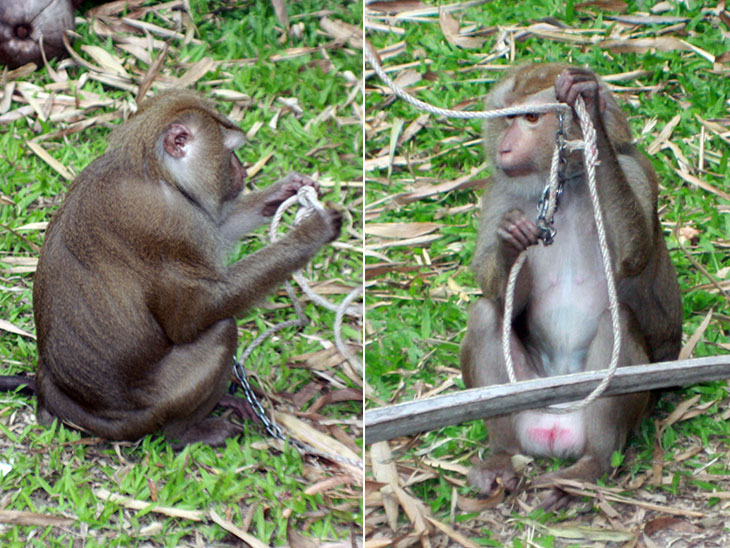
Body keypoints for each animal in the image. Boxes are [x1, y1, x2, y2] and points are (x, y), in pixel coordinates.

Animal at [29, 86, 342, 446]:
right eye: (230, 152)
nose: (243, 171)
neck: (156, 173)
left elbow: (216, 227)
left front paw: (281, 192)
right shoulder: (168, 226)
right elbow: (192, 316)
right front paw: (312, 232)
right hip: (156, 403)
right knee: (223, 330)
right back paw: (185, 433)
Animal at [460, 63, 684, 506]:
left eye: (531, 118)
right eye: (507, 118)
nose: (505, 148)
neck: (570, 183)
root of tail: (553, 432)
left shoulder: (637, 172)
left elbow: (633, 256)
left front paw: (590, 111)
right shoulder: (500, 194)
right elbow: (500, 295)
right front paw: (510, 241)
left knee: (618, 321)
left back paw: (592, 463)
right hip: (530, 396)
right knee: (484, 315)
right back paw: (501, 455)